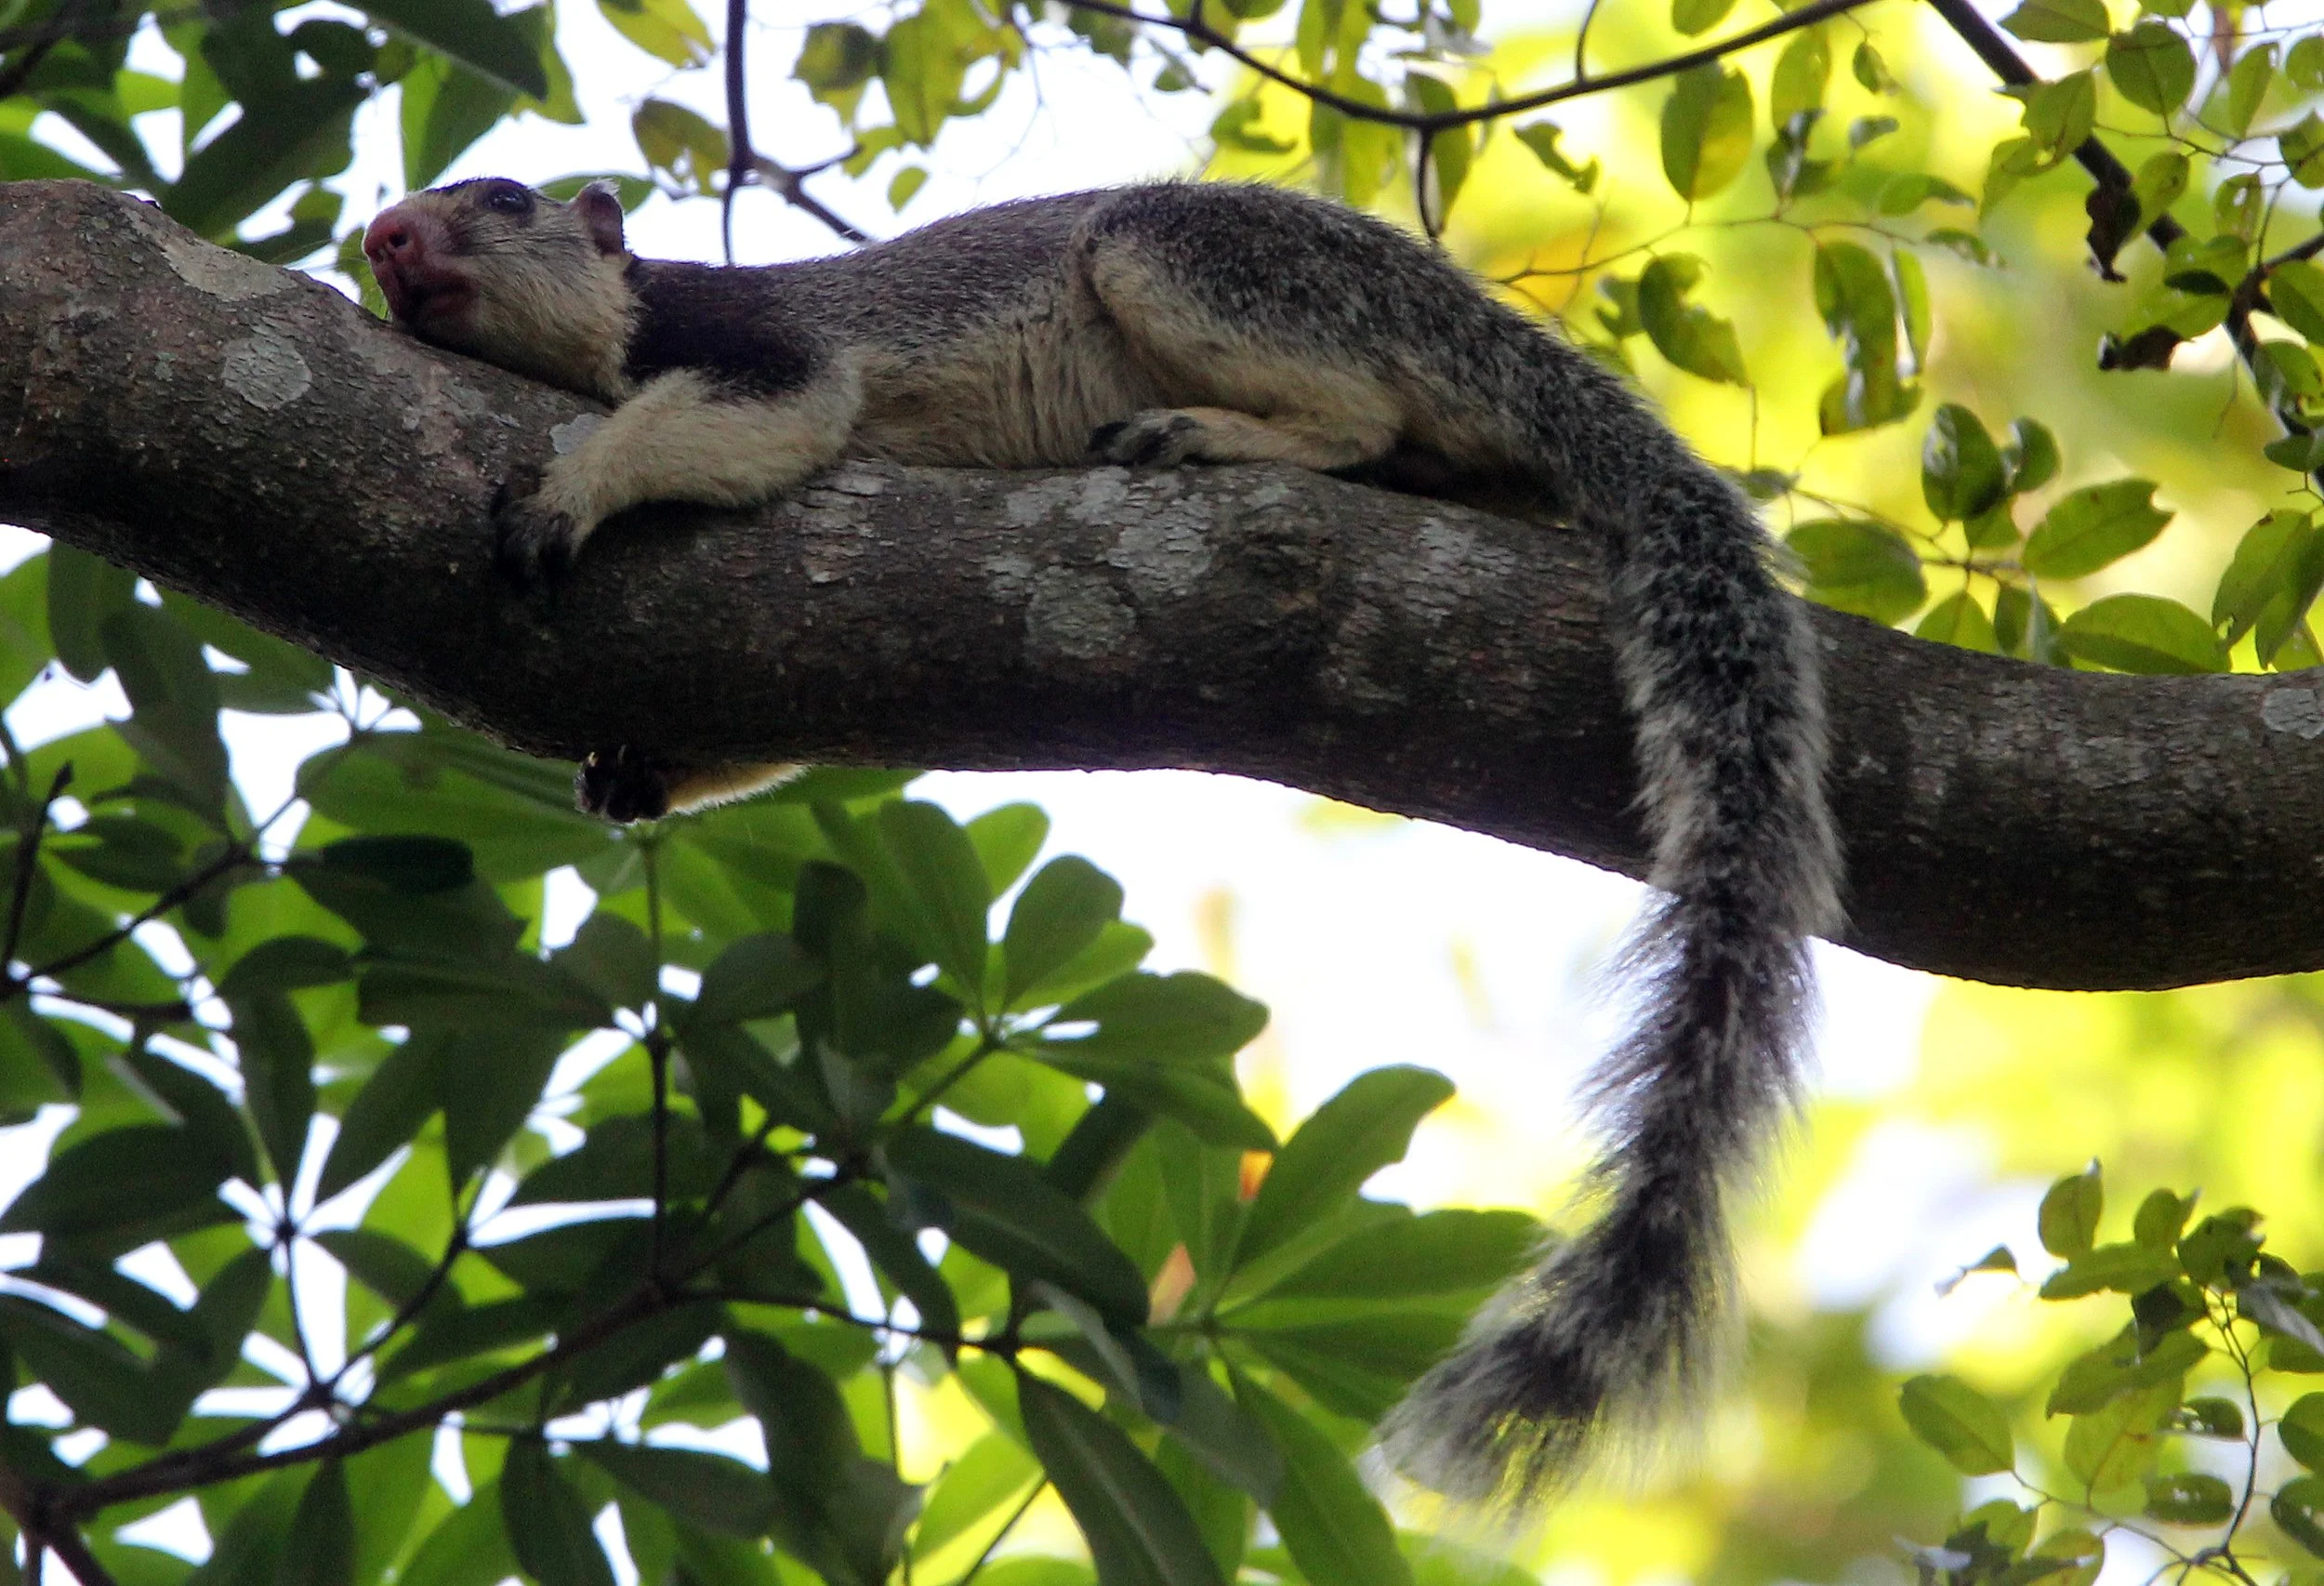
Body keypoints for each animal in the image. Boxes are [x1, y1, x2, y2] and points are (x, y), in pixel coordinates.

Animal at [361, 175, 1841, 1505]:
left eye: (503, 201)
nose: (383, 237)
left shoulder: (753, 347)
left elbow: (740, 419)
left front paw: (570, 493)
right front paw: (641, 770)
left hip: (1220, 267)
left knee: (1352, 411)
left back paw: (1209, 430)